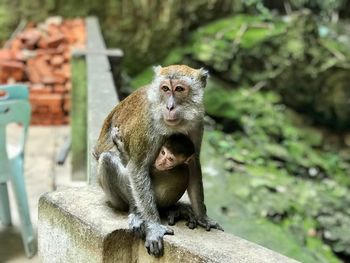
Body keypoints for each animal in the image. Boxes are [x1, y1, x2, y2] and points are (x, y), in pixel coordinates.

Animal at [94, 65, 223, 256]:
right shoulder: (148, 126)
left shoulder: (197, 123)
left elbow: (193, 164)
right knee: (108, 159)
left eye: (179, 89)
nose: (170, 107)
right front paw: (154, 227)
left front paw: (202, 216)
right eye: (165, 89)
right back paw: (136, 212)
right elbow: (137, 168)